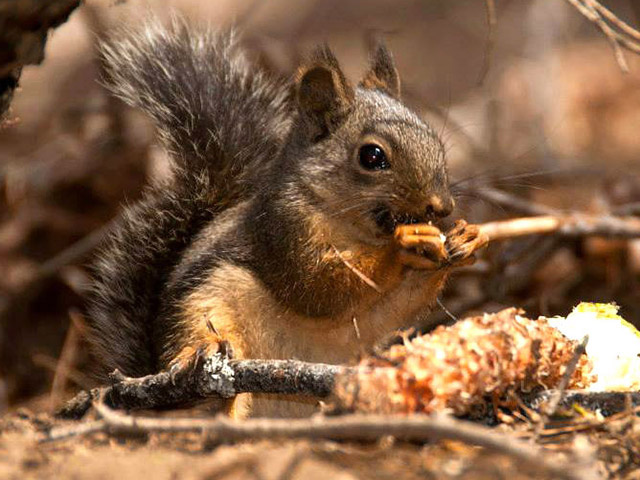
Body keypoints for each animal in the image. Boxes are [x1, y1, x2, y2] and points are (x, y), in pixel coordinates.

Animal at [85, 17, 484, 416]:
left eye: (435, 140)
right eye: (372, 156)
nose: (442, 207)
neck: (353, 229)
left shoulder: (367, 318)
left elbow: (392, 309)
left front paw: (463, 241)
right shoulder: (281, 231)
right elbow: (317, 287)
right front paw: (403, 246)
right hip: (201, 307)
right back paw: (203, 372)